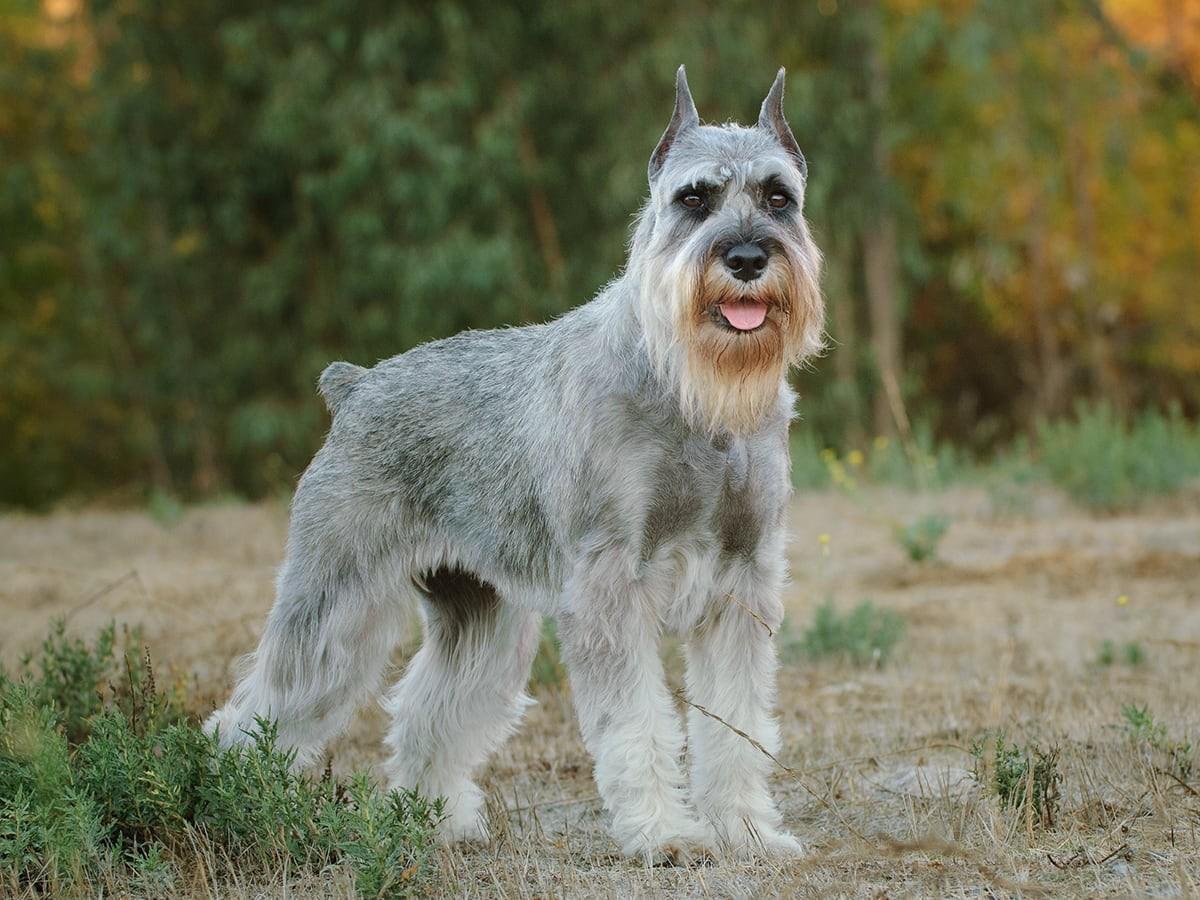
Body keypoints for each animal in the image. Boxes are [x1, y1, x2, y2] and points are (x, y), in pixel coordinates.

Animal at [208, 65, 825, 868]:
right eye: (694, 199)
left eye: (780, 197)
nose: (748, 257)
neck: (690, 392)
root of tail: (354, 386)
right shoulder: (609, 583)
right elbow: (637, 721)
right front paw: (663, 834)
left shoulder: (742, 581)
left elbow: (736, 723)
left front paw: (748, 829)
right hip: (337, 601)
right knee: (260, 706)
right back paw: (233, 804)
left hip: (481, 615)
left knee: (428, 710)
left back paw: (435, 818)